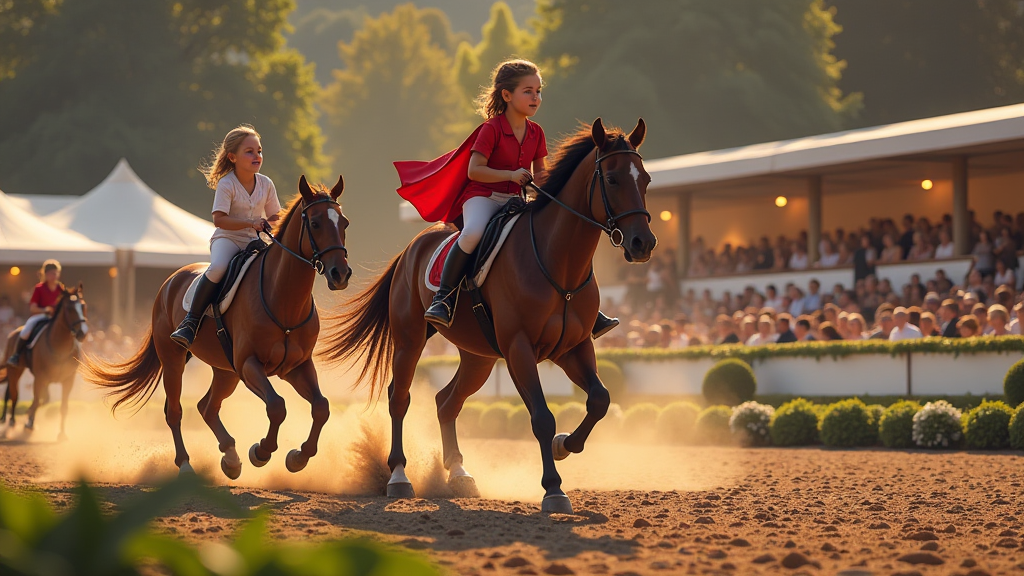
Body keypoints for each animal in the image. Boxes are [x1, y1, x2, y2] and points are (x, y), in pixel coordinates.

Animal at [0, 280, 89, 436]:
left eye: (83, 306)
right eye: (69, 308)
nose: (82, 333)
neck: (60, 347)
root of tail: (13, 333)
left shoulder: (68, 379)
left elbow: (60, 405)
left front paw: (62, 433)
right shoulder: (40, 377)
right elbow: (36, 400)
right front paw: (29, 422)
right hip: (15, 370)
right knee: (14, 394)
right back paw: (11, 420)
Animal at [80, 177, 352, 477]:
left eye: (344, 223)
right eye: (315, 223)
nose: (341, 274)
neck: (284, 298)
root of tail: (171, 281)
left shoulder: (296, 366)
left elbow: (321, 407)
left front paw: (298, 458)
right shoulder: (249, 364)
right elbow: (277, 406)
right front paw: (262, 451)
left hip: (225, 371)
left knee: (207, 407)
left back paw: (230, 458)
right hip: (174, 360)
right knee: (175, 411)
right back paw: (186, 464)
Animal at [319, 117, 655, 510]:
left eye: (646, 179)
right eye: (613, 179)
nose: (643, 244)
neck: (559, 262)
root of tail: (411, 249)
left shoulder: (572, 347)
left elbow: (600, 400)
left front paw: (564, 446)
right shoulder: (519, 349)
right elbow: (542, 417)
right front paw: (554, 489)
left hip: (478, 356)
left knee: (446, 402)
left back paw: (459, 474)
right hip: (409, 342)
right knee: (399, 398)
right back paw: (399, 477)